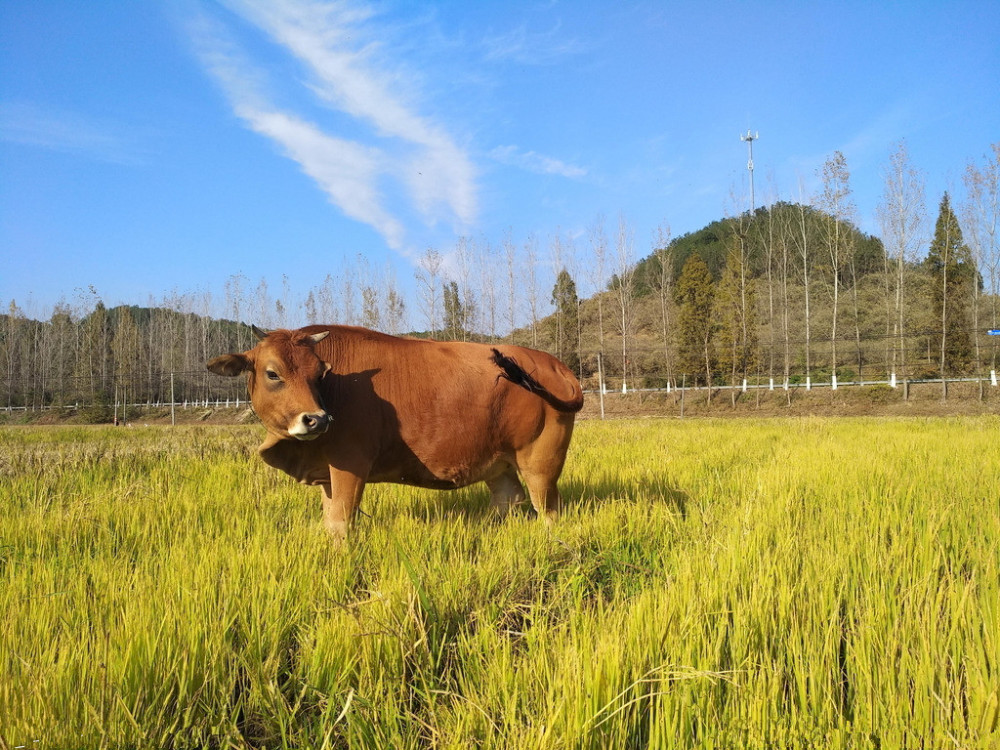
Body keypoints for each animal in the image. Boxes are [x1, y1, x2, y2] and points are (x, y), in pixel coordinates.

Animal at [209, 324, 584, 540]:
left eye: (318, 374)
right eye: (273, 373)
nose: (317, 420)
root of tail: (555, 364)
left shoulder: (351, 464)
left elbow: (342, 521)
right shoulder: (327, 471)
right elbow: (330, 521)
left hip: (541, 463)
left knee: (547, 509)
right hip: (499, 463)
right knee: (509, 499)